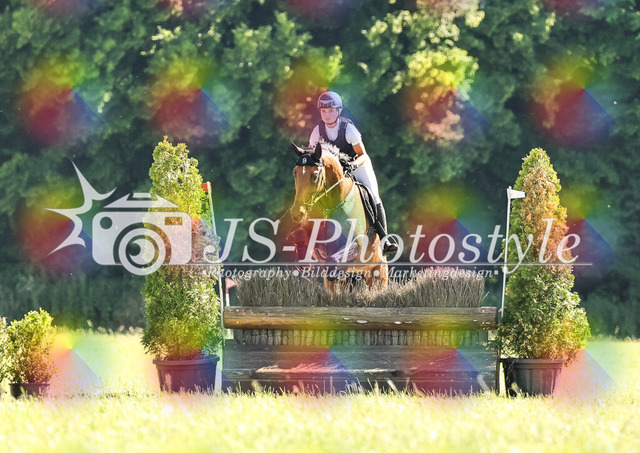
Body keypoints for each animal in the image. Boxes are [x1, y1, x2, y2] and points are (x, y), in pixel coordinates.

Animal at [289, 141, 389, 291]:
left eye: (315, 175)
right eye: (295, 173)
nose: (297, 213)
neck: (331, 205)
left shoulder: (357, 244)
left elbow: (336, 257)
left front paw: (334, 269)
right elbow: (300, 236)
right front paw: (303, 262)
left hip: (379, 274)